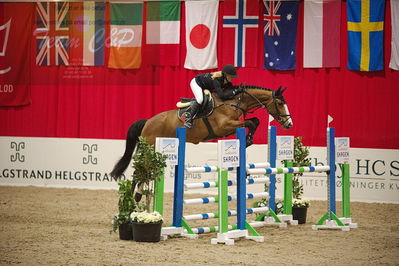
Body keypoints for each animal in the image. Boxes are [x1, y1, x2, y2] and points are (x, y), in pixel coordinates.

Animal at [111, 85, 292, 181]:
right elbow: (250, 122)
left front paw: (248, 140)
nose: (289, 123)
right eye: (280, 103)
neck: (233, 102)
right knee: (139, 171)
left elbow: (255, 121)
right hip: (149, 148)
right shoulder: (224, 126)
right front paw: (248, 139)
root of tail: (147, 122)